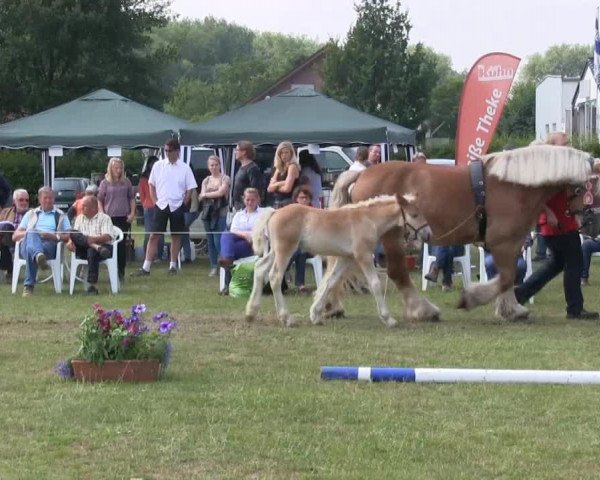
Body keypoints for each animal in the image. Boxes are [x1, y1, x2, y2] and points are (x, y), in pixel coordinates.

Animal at [330, 144, 596, 320]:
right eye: (588, 185)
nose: (585, 218)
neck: (514, 185)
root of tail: (362, 173)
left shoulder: (511, 243)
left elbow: (509, 278)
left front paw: (511, 308)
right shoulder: (503, 243)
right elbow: (506, 277)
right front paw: (473, 298)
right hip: (392, 237)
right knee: (398, 272)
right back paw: (424, 310)